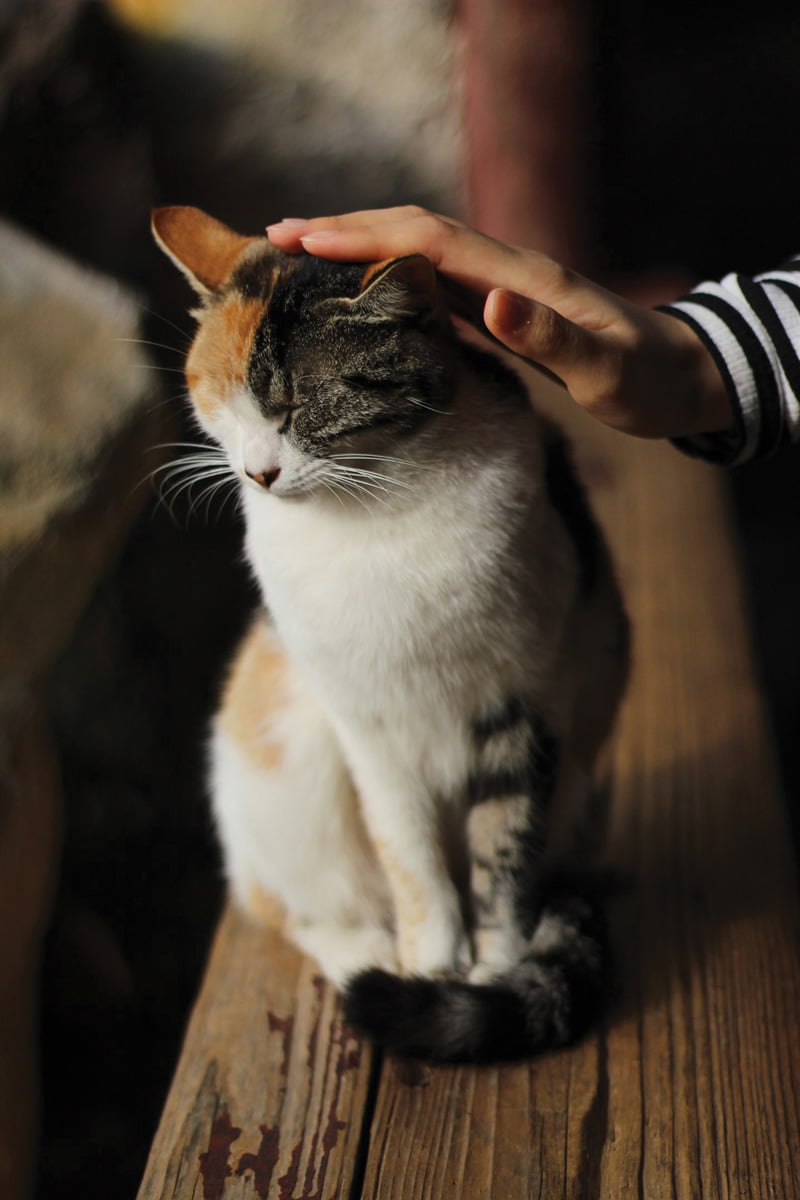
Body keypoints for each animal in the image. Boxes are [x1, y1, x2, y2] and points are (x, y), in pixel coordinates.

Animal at [151, 204, 633, 1060]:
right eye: (225, 403)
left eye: (295, 409)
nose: (257, 473)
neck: (377, 507)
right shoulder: (364, 724)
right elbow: (406, 847)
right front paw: (432, 959)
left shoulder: (528, 702)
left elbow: (506, 847)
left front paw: (495, 967)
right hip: (286, 770)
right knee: (294, 907)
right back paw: (365, 956)